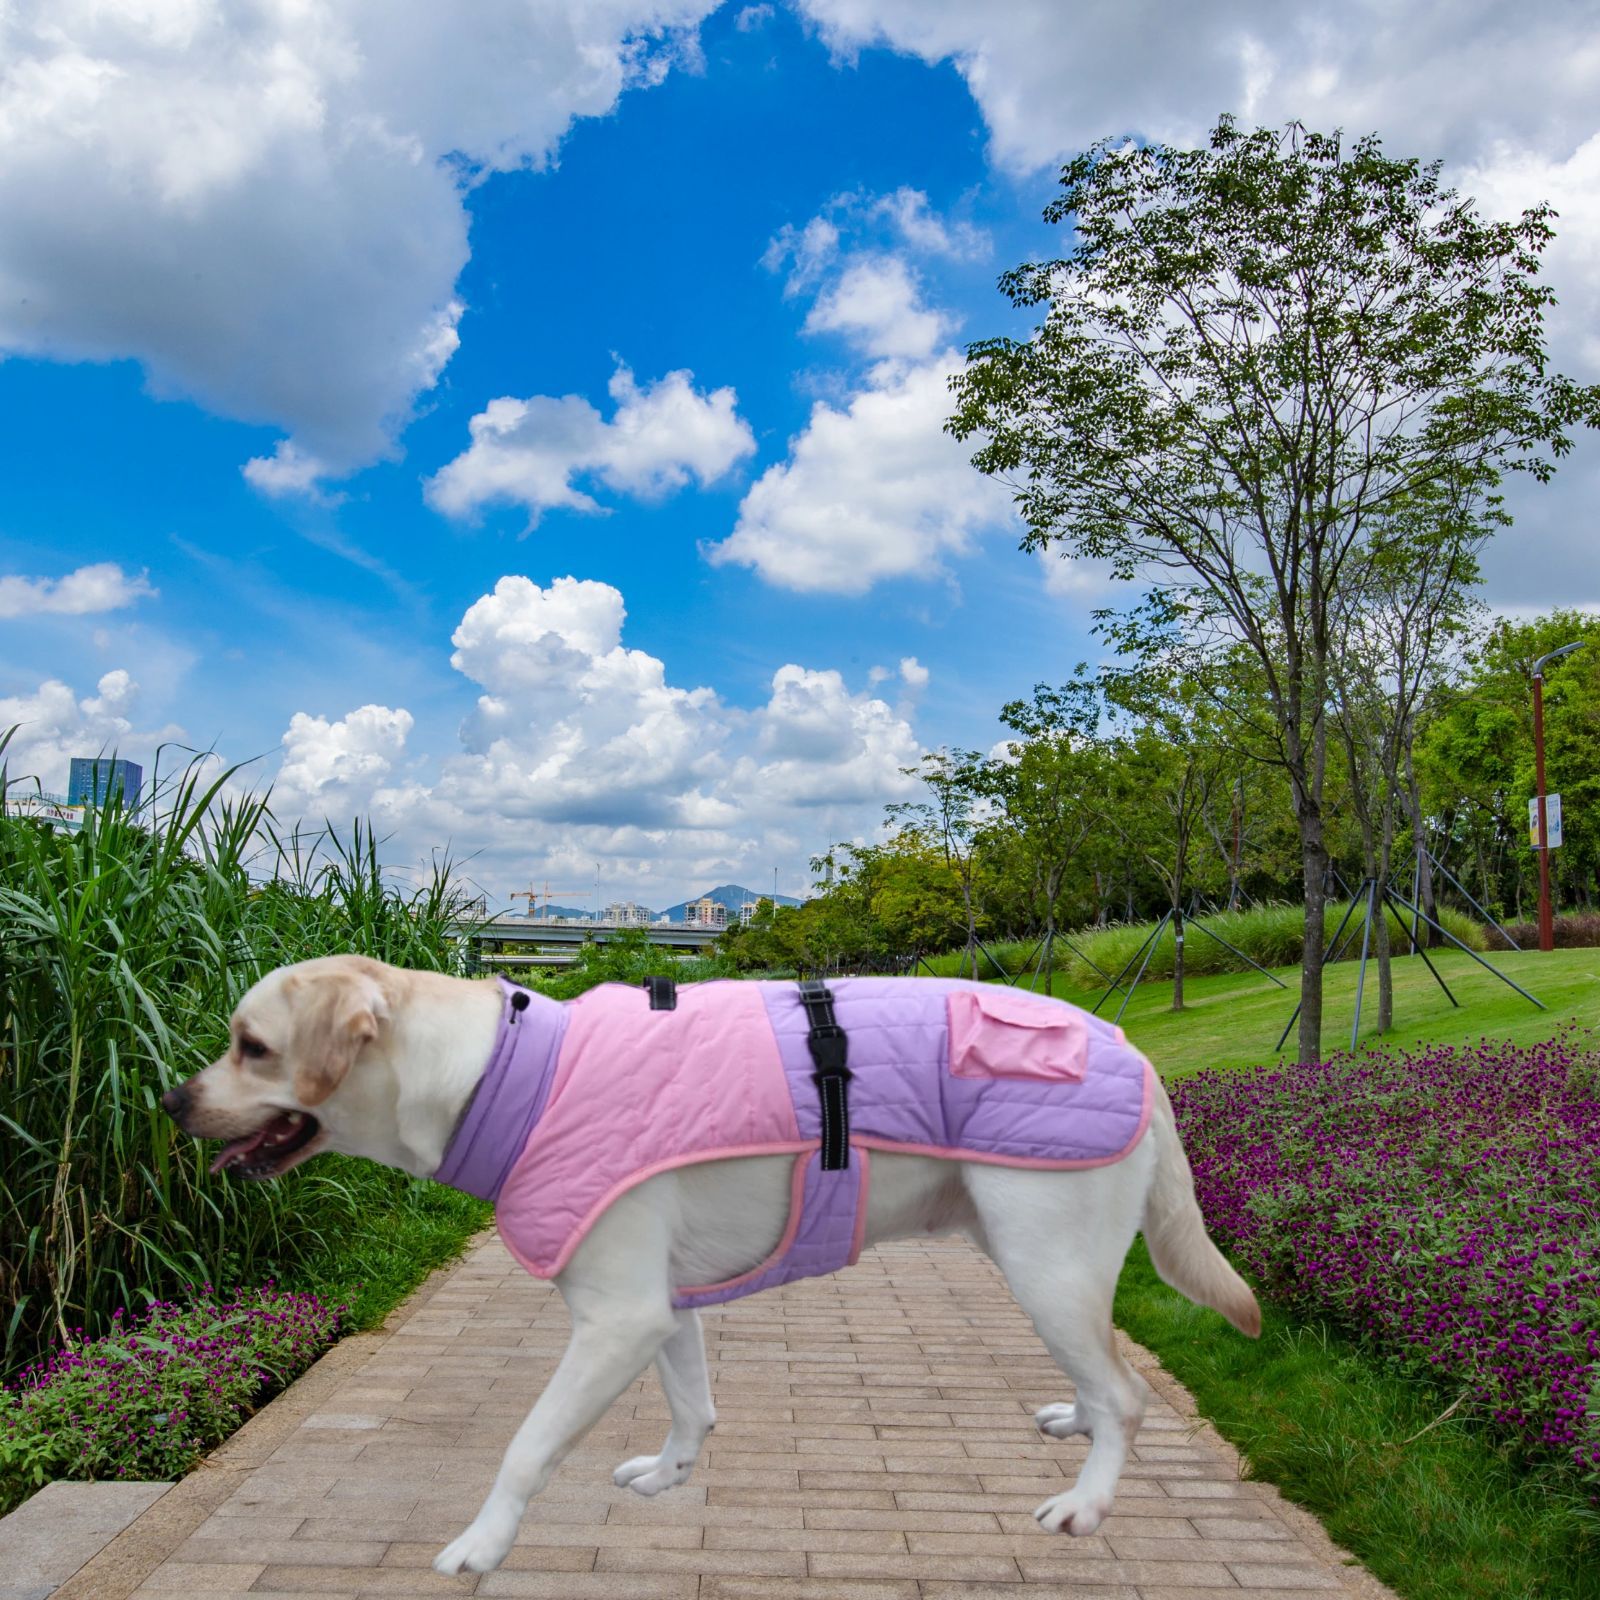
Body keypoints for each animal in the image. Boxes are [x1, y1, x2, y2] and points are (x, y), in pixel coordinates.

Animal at [165, 947, 1260, 1574]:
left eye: (250, 1045)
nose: (171, 1103)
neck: (498, 1074)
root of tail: (1133, 1047)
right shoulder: (660, 1305)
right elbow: (692, 1403)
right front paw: (669, 1473)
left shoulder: (615, 1318)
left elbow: (524, 1444)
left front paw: (481, 1544)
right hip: (1031, 1254)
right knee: (1103, 1366)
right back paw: (1073, 1418)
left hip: (1043, 1260)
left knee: (1127, 1393)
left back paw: (1087, 1500)